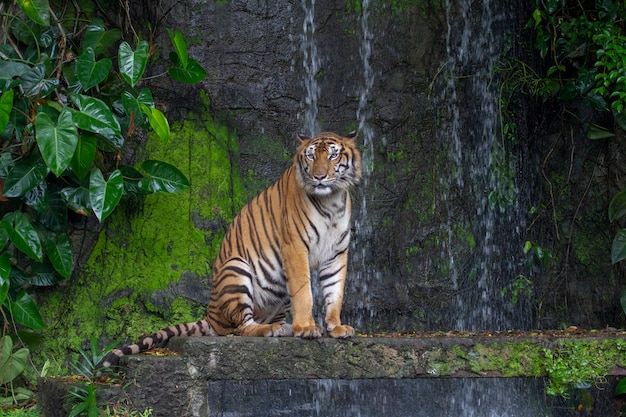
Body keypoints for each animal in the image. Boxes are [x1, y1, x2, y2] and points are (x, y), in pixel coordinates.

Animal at [102, 131, 360, 368]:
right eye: (311, 156)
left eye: (333, 155)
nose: (319, 177)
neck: (331, 201)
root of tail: (210, 313)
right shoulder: (295, 246)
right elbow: (304, 292)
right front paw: (307, 328)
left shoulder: (337, 253)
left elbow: (335, 291)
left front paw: (336, 327)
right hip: (237, 268)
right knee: (240, 328)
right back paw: (272, 329)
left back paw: (283, 327)